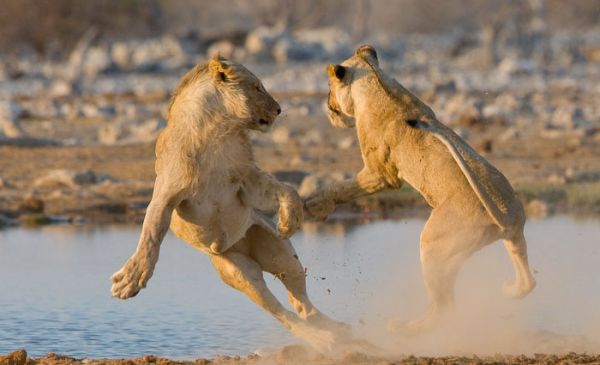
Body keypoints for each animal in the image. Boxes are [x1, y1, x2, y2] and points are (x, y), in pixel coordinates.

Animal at [111, 55, 346, 348]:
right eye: (257, 87)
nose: (278, 109)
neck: (216, 131)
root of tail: (239, 245)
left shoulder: (247, 180)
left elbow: (286, 189)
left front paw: (290, 220)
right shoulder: (166, 195)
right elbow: (151, 234)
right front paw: (131, 280)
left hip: (278, 251)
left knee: (299, 299)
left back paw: (335, 331)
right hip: (236, 269)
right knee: (278, 309)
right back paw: (324, 339)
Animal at [308, 44, 536, 332]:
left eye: (329, 86)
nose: (327, 107)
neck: (377, 83)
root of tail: (505, 213)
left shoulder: (380, 174)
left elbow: (340, 188)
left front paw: (313, 205)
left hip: (433, 244)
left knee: (444, 307)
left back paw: (404, 328)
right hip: (511, 238)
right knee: (528, 281)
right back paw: (509, 290)